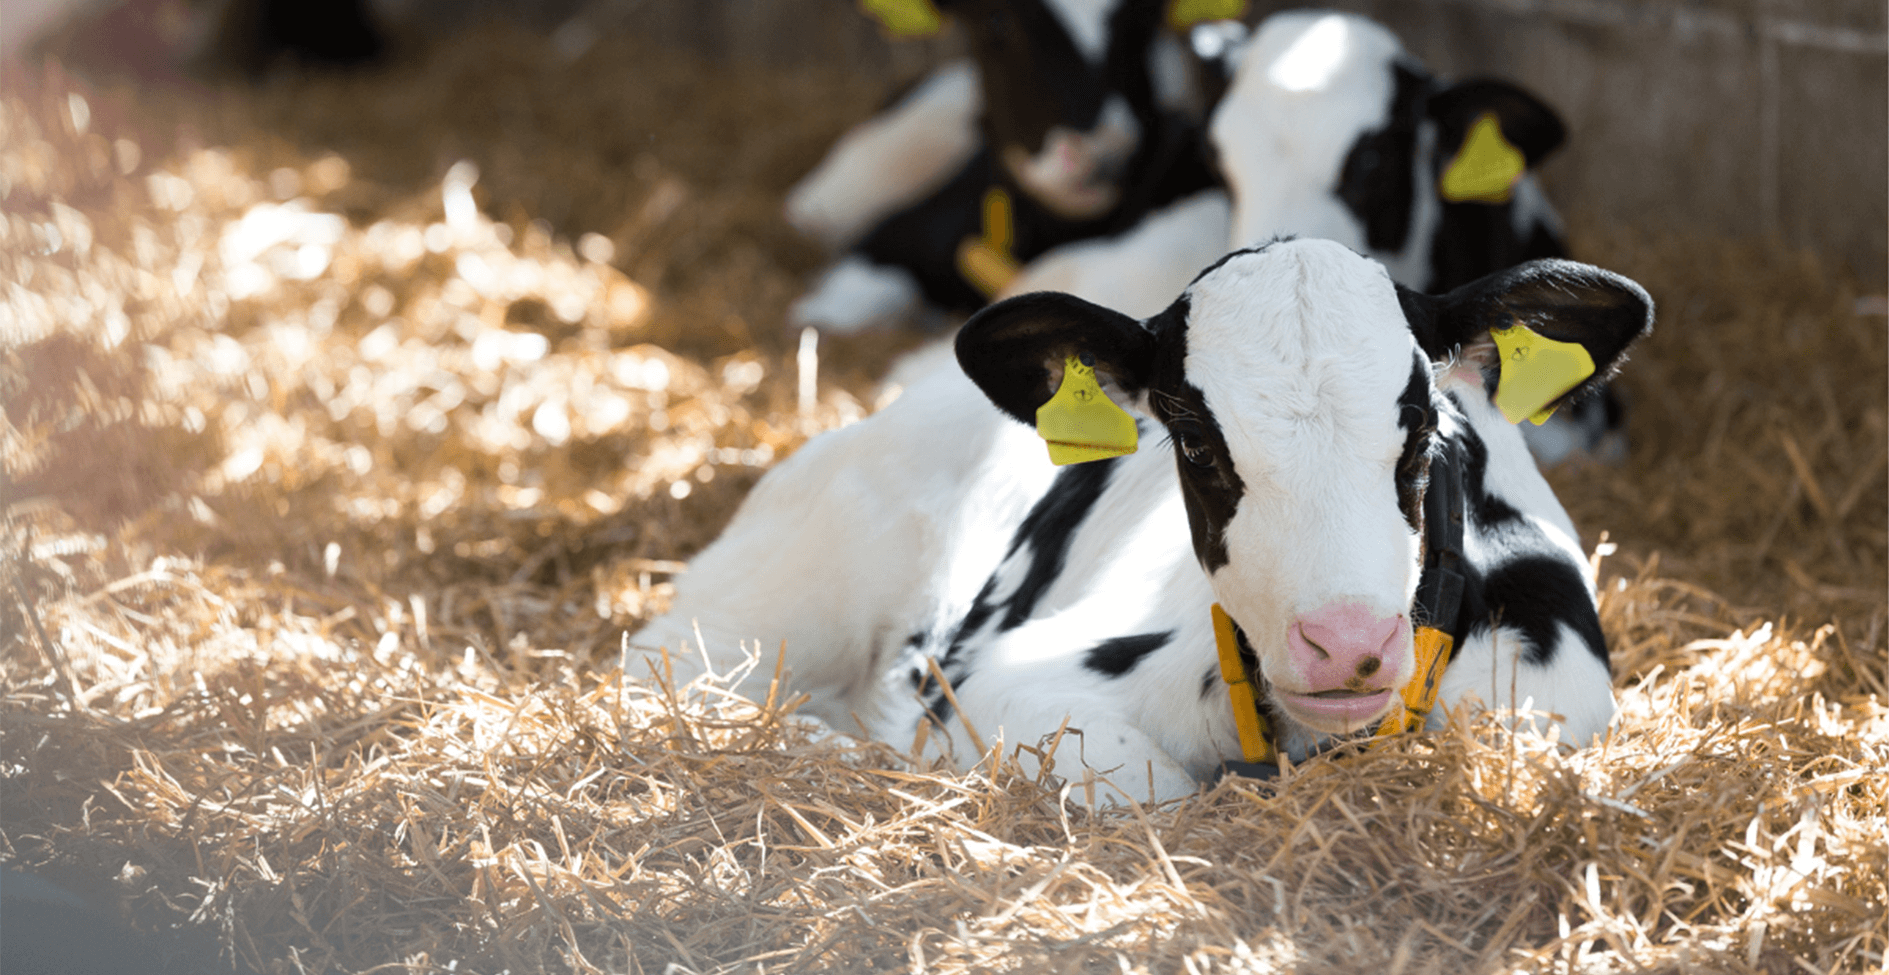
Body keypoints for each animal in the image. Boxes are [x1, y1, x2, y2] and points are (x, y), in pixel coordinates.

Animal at [629, 237, 1653, 803]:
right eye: (1193, 440)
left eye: (1424, 428)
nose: (1346, 641)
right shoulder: (999, 681)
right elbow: (1145, 787)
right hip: (766, 601)